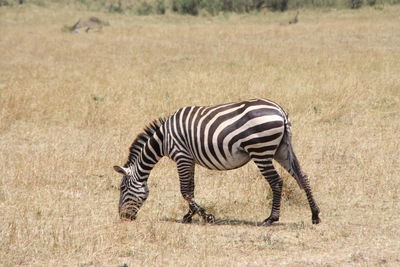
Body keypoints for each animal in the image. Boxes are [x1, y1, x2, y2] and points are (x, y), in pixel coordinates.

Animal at [114, 98, 320, 226]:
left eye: (122, 188)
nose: (123, 217)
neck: (163, 139)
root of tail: (280, 111)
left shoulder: (181, 156)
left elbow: (185, 191)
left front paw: (207, 216)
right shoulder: (190, 159)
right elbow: (191, 189)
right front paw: (190, 215)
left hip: (260, 150)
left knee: (276, 182)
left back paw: (271, 218)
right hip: (281, 149)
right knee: (303, 177)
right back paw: (315, 215)